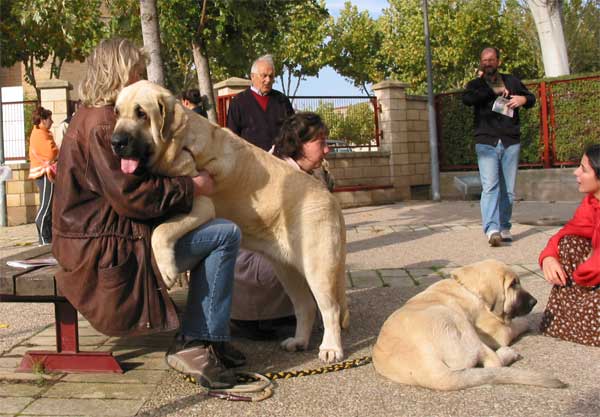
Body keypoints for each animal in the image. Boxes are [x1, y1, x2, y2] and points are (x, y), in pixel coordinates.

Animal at [110, 79, 350, 362]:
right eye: (117, 112)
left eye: (142, 114)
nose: (115, 142)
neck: (179, 142)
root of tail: (330, 197)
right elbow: (158, 224)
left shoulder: (201, 204)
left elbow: (161, 230)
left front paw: (167, 271)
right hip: (287, 269)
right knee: (305, 306)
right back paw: (299, 341)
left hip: (317, 268)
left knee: (330, 308)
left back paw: (331, 348)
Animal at [372, 258, 564, 388]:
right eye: (512, 284)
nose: (534, 302)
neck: (468, 287)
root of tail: (430, 370)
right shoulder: (498, 333)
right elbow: (514, 325)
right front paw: (526, 321)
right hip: (459, 322)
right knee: (494, 362)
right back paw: (508, 353)